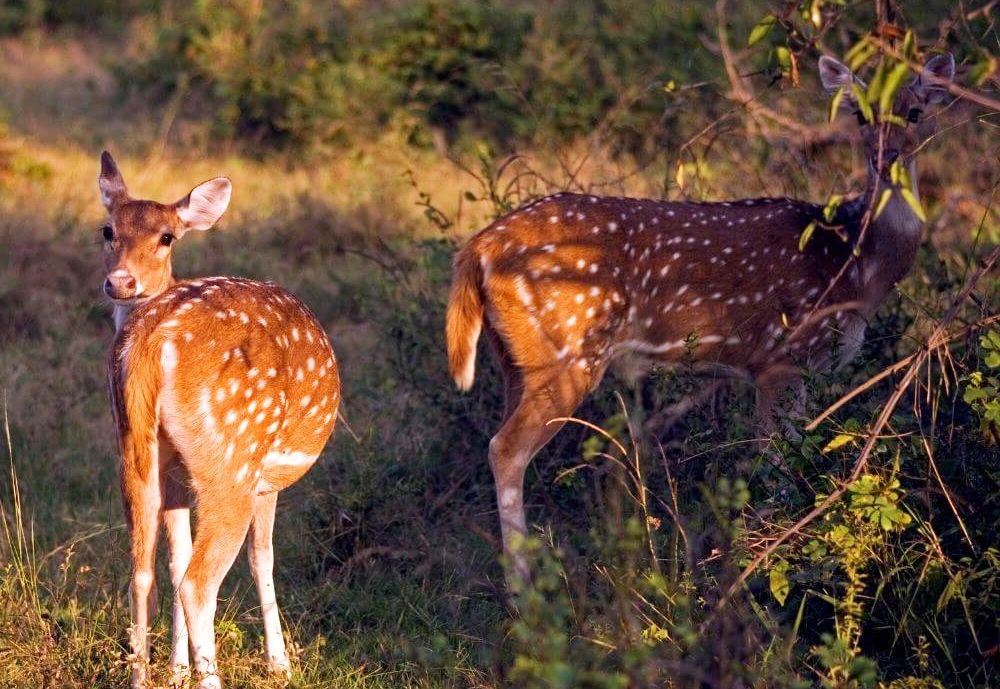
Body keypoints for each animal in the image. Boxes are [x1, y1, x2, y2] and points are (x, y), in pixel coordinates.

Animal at [99, 153, 340, 684]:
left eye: (167, 236)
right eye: (108, 230)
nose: (121, 282)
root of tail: (150, 342)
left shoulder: (174, 477)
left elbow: (173, 560)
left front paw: (176, 672)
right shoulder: (265, 479)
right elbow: (262, 559)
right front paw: (279, 665)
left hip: (134, 450)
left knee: (141, 572)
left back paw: (143, 677)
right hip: (233, 458)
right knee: (199, 581)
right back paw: (212, 677)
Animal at [450, 55, 956, 580]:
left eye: (916, 112)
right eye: (859, 114)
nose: (886, 156)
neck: (854, 267)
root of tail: (477, 248)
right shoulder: (780, 356)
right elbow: (778, 463)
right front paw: (768, 556)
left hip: (516, 359)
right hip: (567, 350)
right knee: (506, 449)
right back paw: (524, 586)